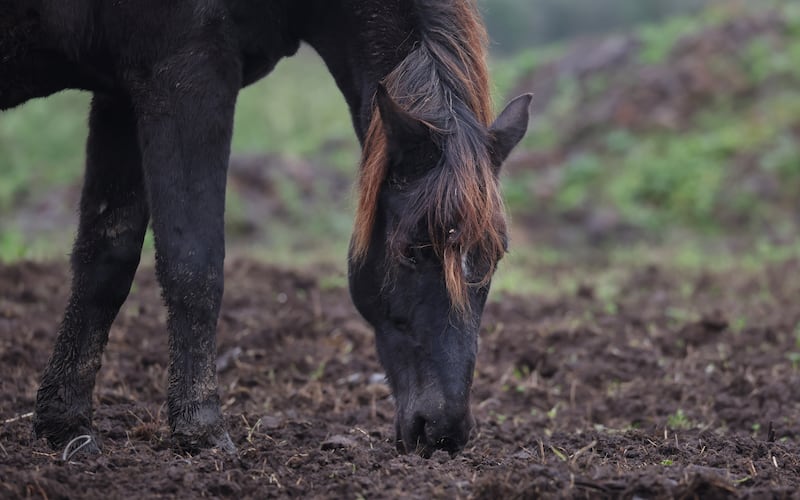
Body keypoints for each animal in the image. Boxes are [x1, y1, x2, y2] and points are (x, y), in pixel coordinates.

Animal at [1, 0, 532, 458]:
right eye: (412, 251)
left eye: (494, 257)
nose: (444, 431)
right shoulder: (186, 76)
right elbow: (194, 264)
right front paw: (202, 430)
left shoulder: (120, 91)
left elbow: (106, 259)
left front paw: (66, 425)